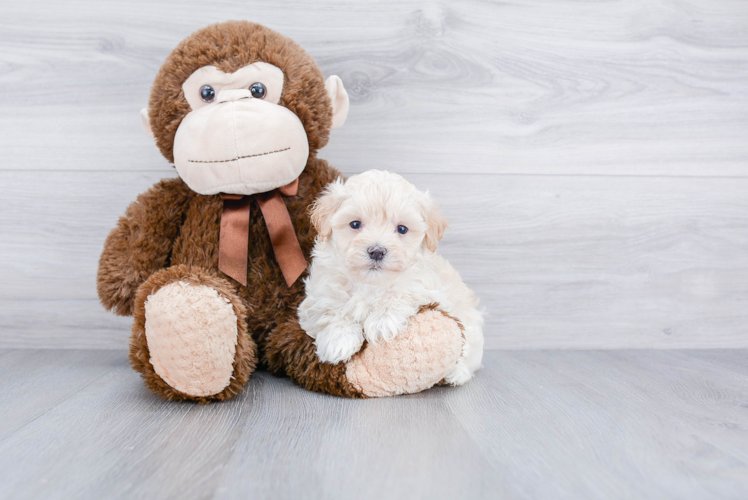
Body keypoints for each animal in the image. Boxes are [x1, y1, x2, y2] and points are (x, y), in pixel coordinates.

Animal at [298, 170, 486, 384]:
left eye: (402, 229)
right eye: (355, 224)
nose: (377, 251)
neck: (370, 283)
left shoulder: (425, 287)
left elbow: (400, 293)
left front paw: (381, 322)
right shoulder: (318, 295)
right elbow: (330, 311)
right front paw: (338, 341)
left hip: (470, 324)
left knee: (469, 353)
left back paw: (456, 373)